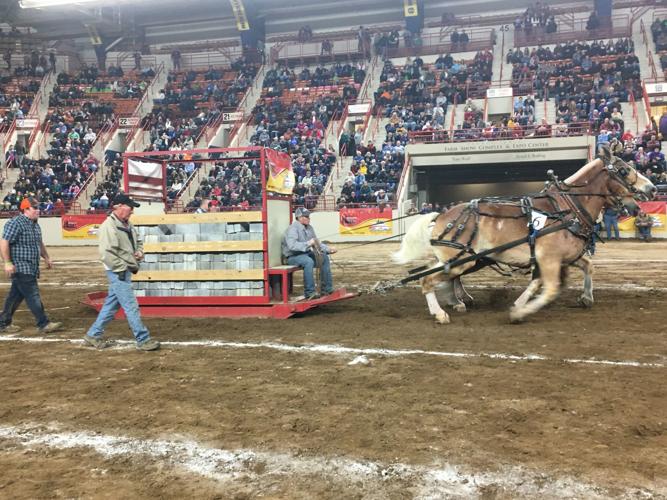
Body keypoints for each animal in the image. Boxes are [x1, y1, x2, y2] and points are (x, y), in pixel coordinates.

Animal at [393, 144, 657, 324]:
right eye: (624, 170)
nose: (652, 188)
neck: (568, 207)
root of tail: (443, 214)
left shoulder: (563, 257)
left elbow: (585, 267)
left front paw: (586, 298)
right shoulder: (548, 258)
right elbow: (547, 288)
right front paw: (520, 310)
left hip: (459, 259)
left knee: (437, 274)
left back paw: (456, 301)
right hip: (460, 259)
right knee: (427, 279)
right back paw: (441, 312)